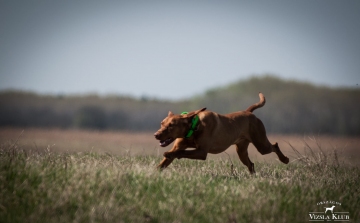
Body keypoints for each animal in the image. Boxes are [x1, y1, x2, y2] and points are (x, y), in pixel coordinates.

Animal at [153, 92, 288, 172]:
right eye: (162, 123)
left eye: (171, 125)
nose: (156, 135)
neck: (194, 127)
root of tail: (249, 112)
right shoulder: (180, 145)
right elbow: (165, 161)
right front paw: (154, 172)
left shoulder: (201, 152)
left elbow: (181, 152)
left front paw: (169, 154)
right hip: (241, 150)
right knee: (251, 164)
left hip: (261, 144)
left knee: (274, 145)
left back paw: (284, 159)